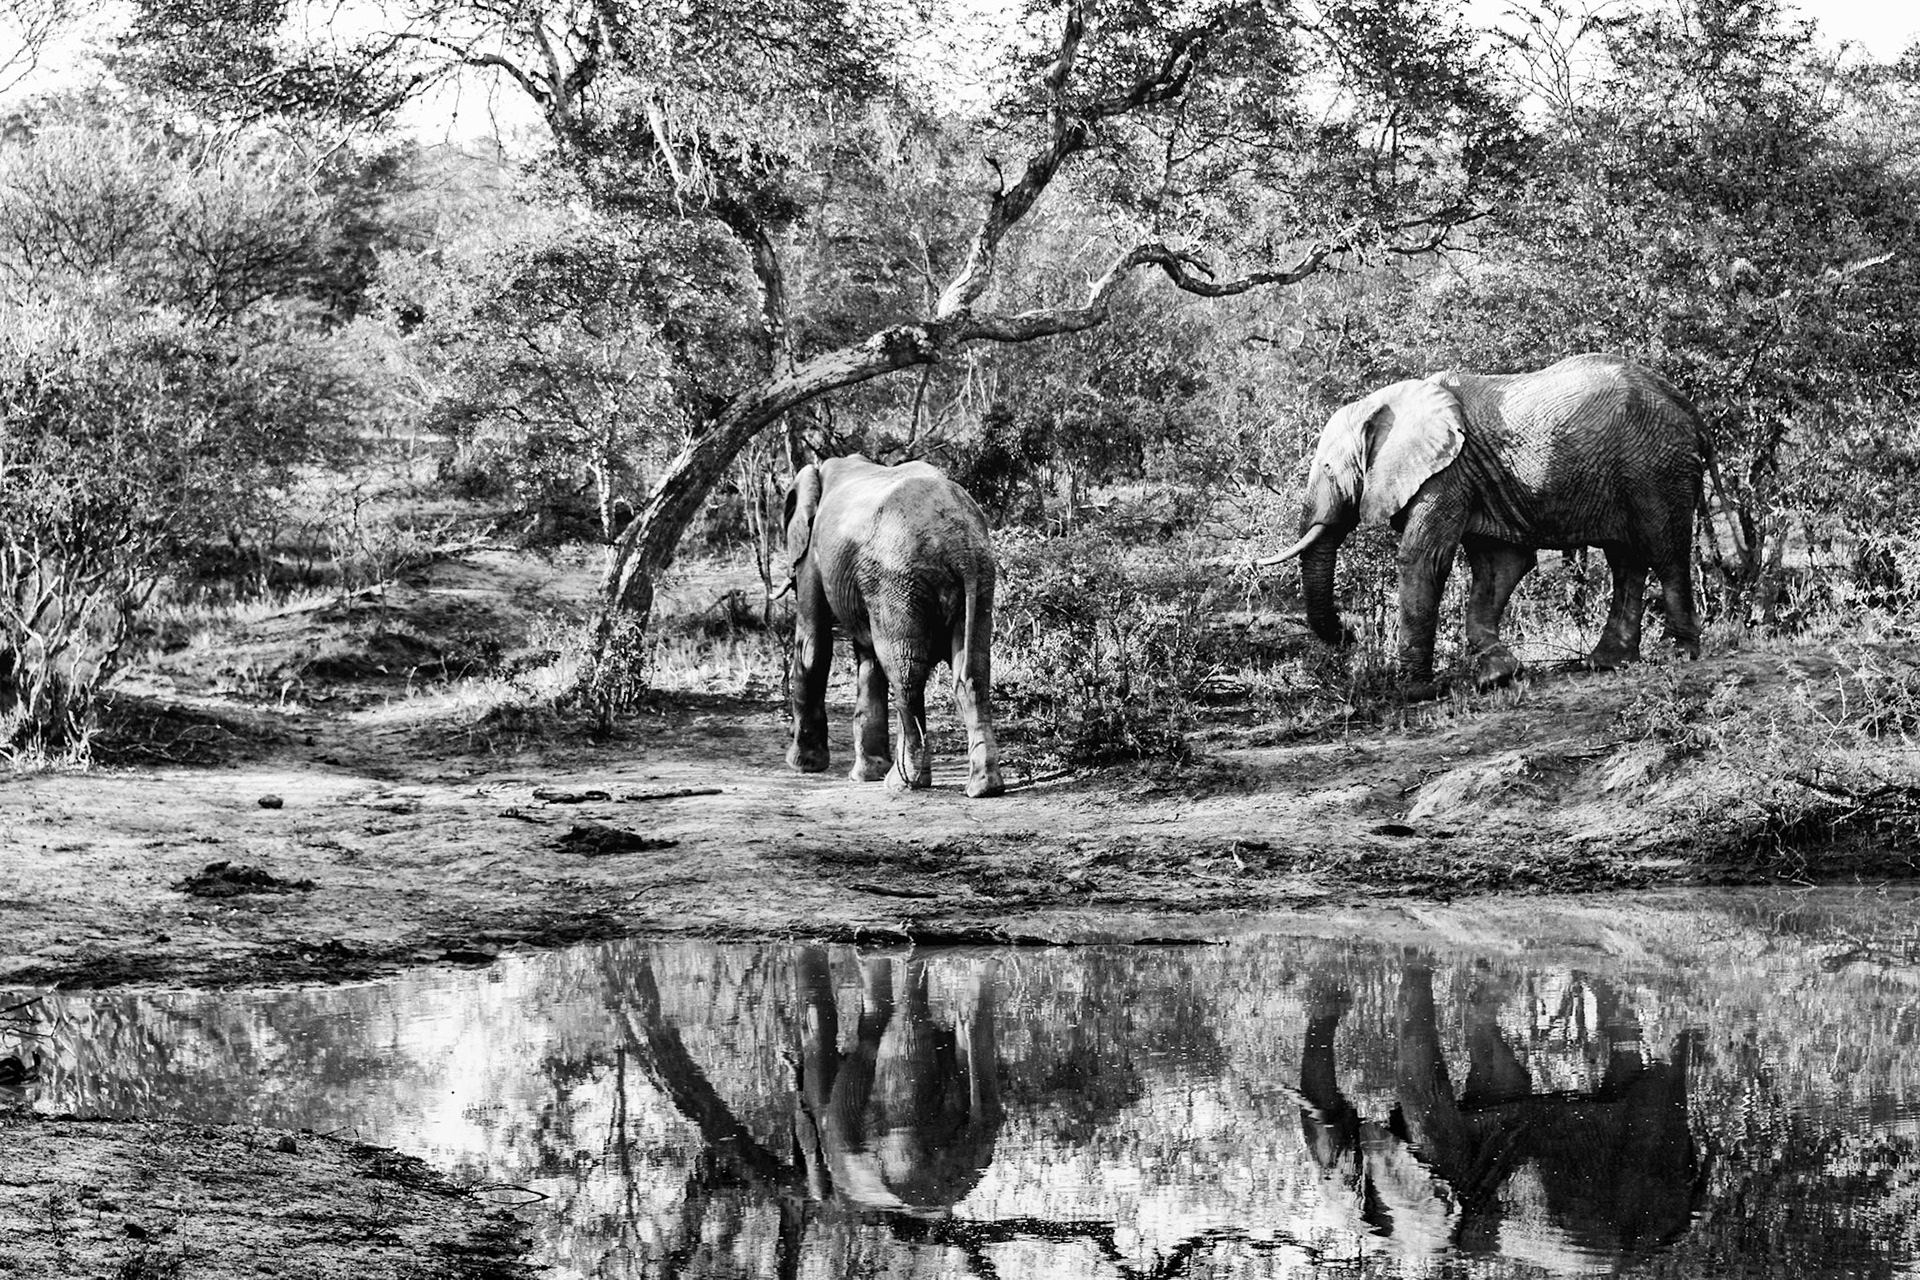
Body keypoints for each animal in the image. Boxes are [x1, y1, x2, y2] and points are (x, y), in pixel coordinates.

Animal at [784, 455, 1003, 798]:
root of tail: (961, 546)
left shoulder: (814, 555)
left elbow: (812, 646)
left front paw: (804, 765)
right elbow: (867, 658)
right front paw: (866, 774)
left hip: (897, 579)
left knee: (906, 675)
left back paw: (902, 784)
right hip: (978, 579)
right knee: (972, 675)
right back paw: (984, 787)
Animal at [1270, 353, 1706, 691]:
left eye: (1328, 468)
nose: (1350, 635)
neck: (1385, 401)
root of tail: (1687, 407)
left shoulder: (1448, 473)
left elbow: (1423, 560)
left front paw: (1413, 690)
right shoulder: (1478, 478)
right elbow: (1500, 568)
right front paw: (1497, 677)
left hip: (1655, 466)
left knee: (1664, 549)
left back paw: (1677, 654)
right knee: (1626, 560)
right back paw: (1608, 663)